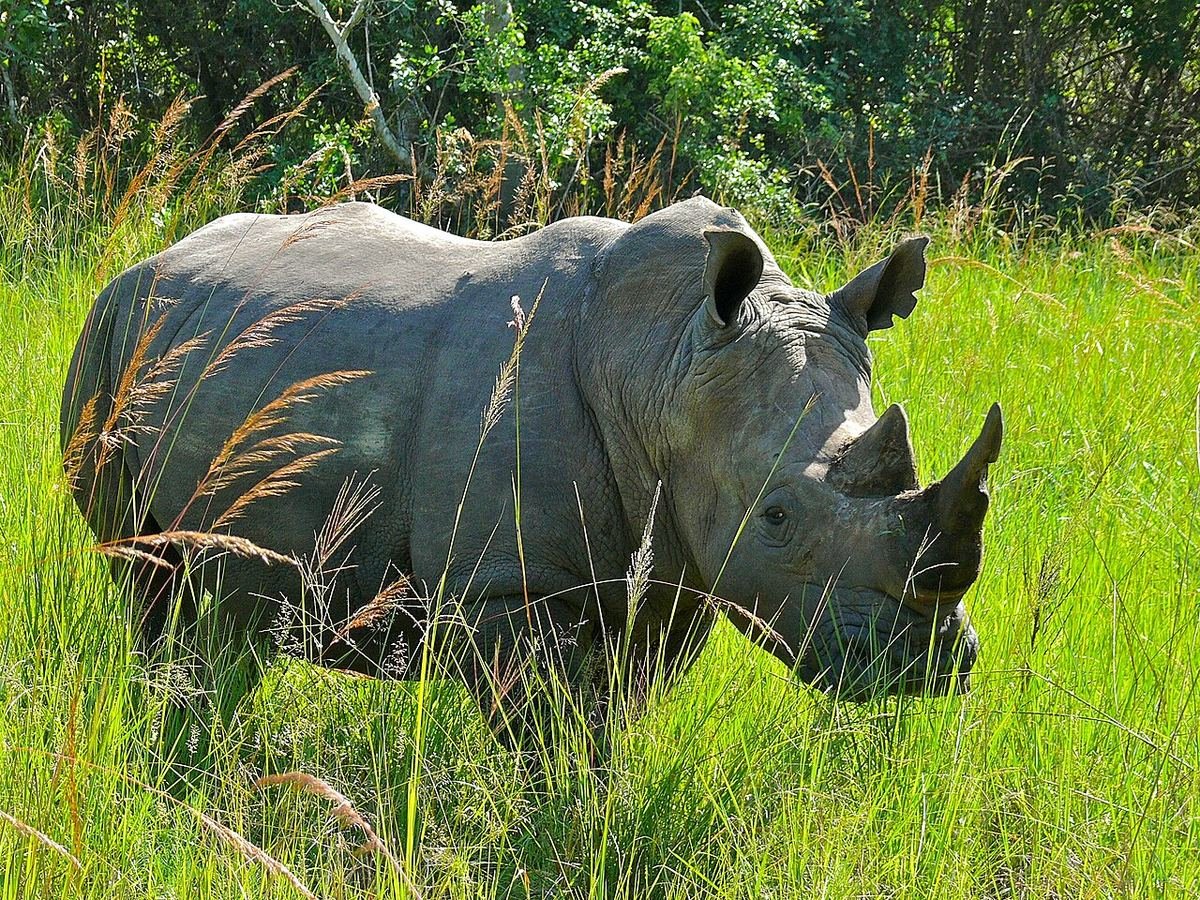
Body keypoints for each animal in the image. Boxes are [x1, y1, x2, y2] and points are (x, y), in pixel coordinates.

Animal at [61, 197, 1001, 752]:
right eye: (776, 517)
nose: (926, 663)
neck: (664, 363)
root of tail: (154, 258)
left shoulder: (678, 574)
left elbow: (615, 720)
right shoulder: (505, 587)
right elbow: (544, 738)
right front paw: (552, 823)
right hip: (108, 339)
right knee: (148, 584)